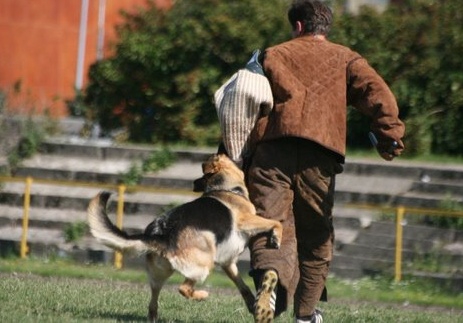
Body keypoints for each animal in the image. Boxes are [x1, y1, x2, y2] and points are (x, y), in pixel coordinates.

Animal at [87, 154, 282, 322]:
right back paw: (202, 295)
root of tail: (163, 234)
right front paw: (276, 237)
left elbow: (243, 286)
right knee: (183, 288)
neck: (225, 188)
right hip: (204, 264)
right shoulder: (247, 220)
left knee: (154, 299)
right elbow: (276, 222)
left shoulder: (228, 263)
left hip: (159, 275)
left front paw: (252, 304)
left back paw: (153, 317)